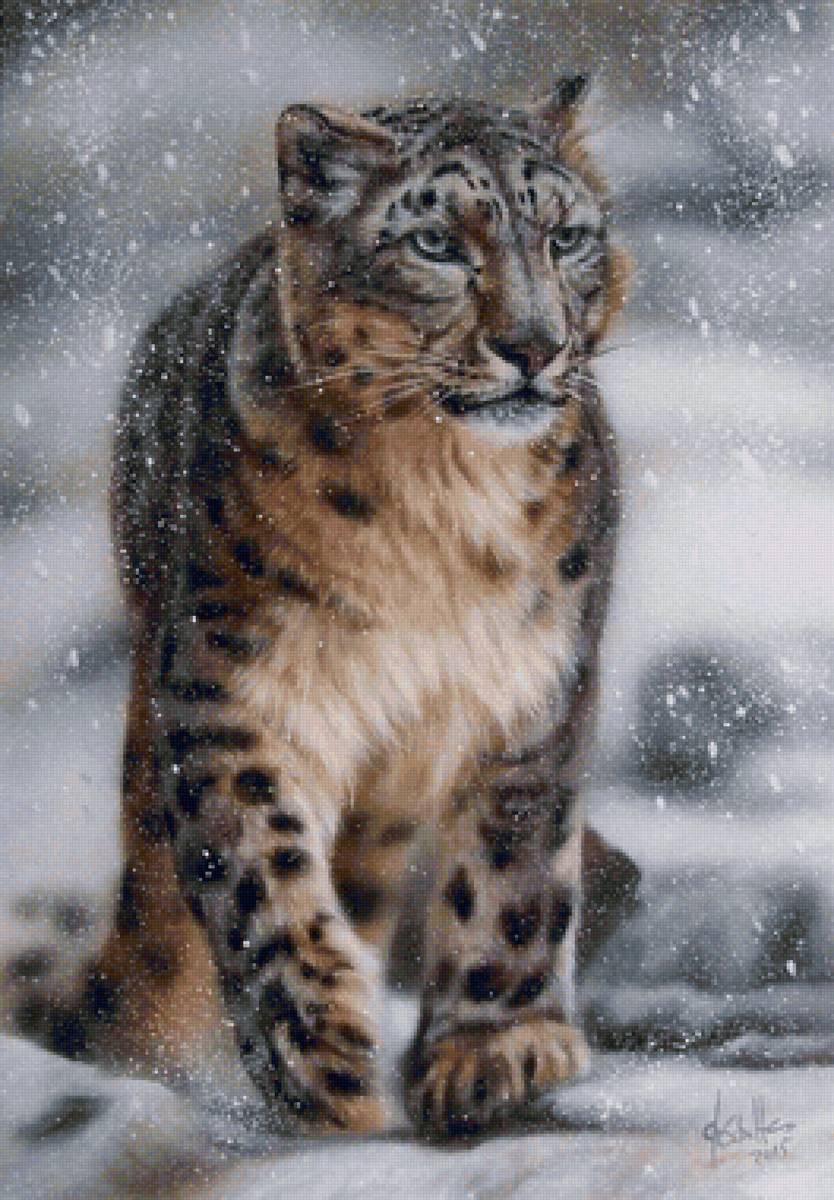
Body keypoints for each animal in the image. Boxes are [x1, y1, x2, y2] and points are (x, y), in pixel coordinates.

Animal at [3, 77, 632, 1138]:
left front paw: (494, 1052)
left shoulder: (531, 677)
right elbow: (259, 868)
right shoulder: (235, 687)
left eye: (568, 236)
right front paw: (324, 1056)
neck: (440, 498)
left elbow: (509, 865)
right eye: (436, 243)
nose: (534, 346)